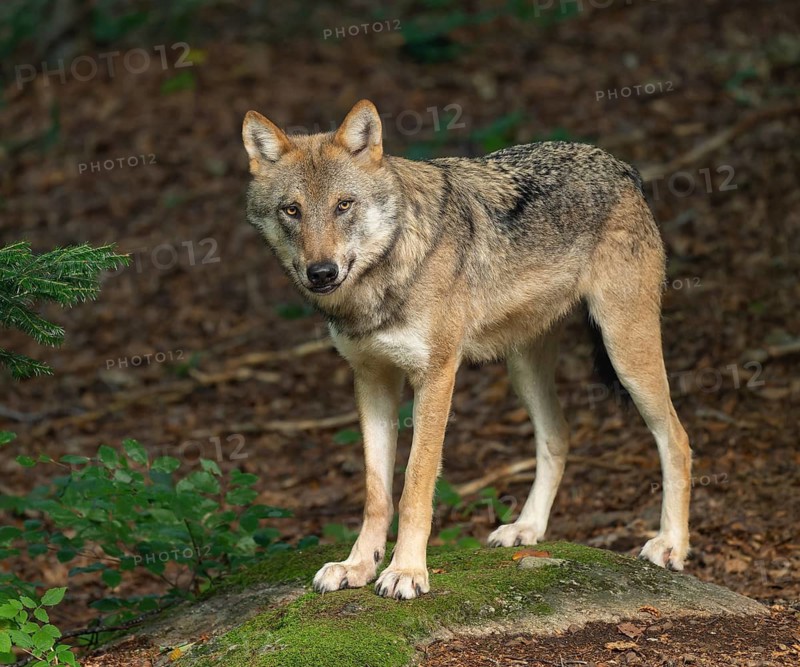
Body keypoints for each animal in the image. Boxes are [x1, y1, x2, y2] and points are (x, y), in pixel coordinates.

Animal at [242, 100, 691, 600]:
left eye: (344, 205)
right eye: (292, 210)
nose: (321, 272)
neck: (383, 279)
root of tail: (620, 166)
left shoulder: (437, 376)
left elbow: (415, 485)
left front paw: (406, 571)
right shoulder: (372, 379)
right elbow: (376, 491)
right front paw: (358, 565)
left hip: (625, 352)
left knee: (678, 439)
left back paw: (671, 546)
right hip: (523, 369)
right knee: (559, 435)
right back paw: (527, 529)